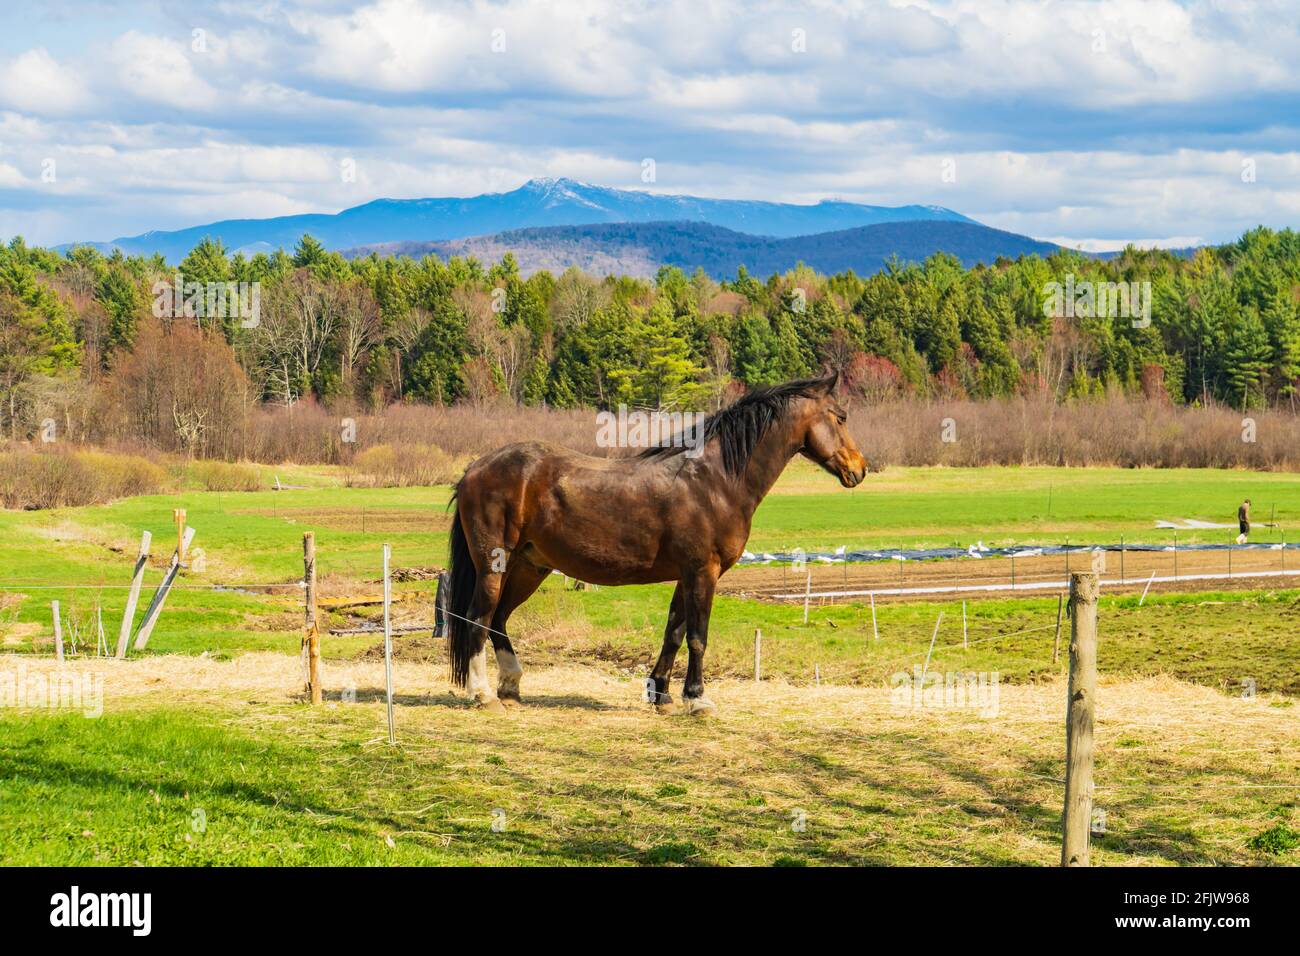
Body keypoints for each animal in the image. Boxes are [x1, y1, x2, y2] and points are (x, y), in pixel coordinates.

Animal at [441, 371, 868, 712]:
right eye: (841, 417)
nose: (860, 469)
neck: (715, 480)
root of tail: (474, 469)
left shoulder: (687, 574)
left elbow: (674, 633)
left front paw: (660, 694)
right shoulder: (704, 572)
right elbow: (697, 636)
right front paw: (696, 698)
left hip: (530, 566)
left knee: (498, 618)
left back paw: (511, 686)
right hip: (494, 563)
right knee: (478, 618)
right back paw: (484, 694)